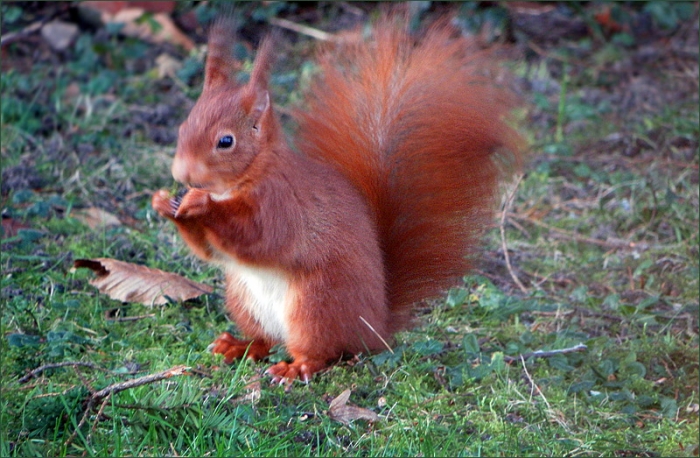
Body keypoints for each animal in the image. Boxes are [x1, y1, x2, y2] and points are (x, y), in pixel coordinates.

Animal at [152, 15, 523, 383]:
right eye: (183, 127)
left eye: (225, 141)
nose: (182, 174)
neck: (248, 175)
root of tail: (374, 328)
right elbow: (210, 251)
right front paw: (164, 204)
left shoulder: (281, 204)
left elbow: (259, 237)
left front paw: (201, 205)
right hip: (245, 300)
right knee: (266, 340)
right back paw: (238, 346)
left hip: (315, 306)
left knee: (320, 353)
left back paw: (295, 368)